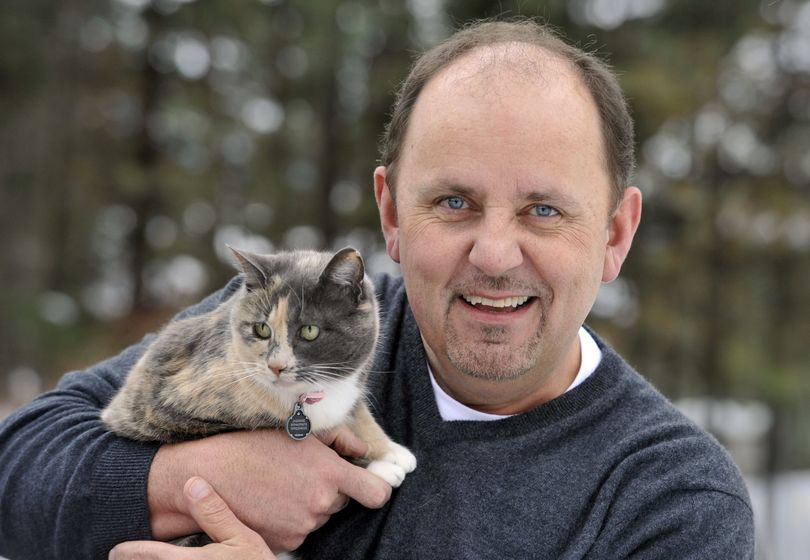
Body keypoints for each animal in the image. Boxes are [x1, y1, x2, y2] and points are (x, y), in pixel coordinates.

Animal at [100, 245, 414, 544]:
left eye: (309, 331)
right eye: (261, 328)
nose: (276, 366)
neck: (309, 393)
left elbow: (358, 410)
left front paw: (391, 450)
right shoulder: (176, 408)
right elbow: (330, 452)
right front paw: (381, 467)